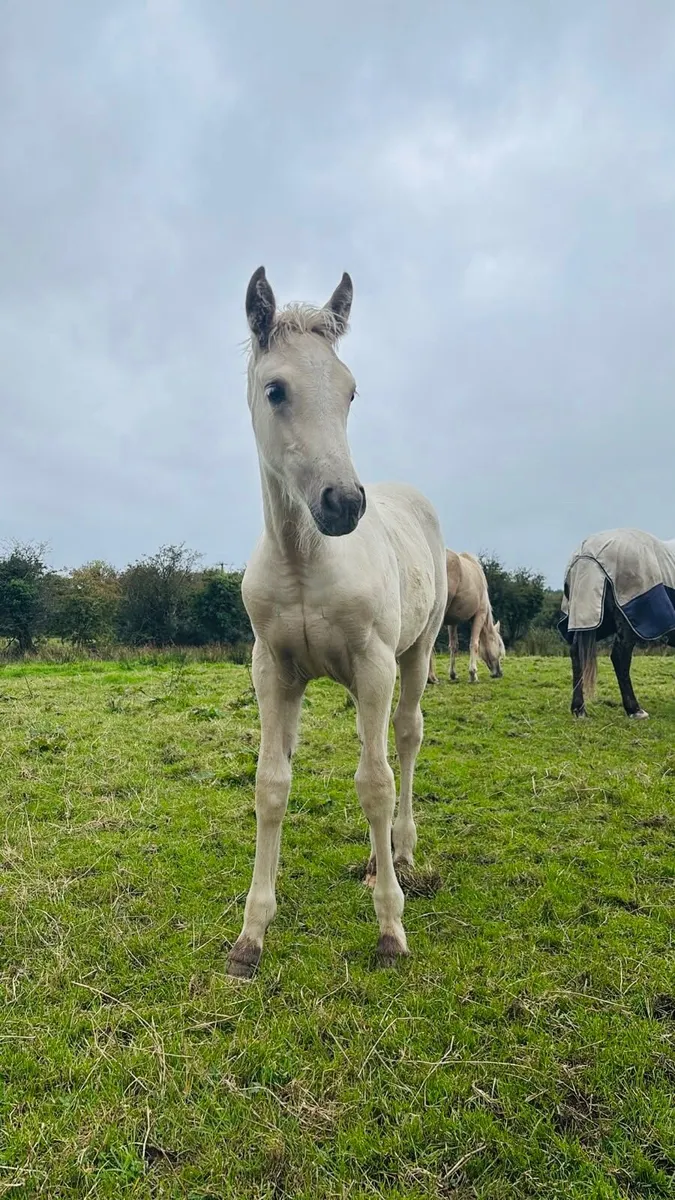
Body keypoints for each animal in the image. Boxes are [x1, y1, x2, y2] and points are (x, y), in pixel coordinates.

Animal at [226, 267, 448, 978]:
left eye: (350, 391)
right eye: (276, 389)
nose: (345, 502)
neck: (305, 559)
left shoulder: (374, 663)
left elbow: (375, 785)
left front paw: (390, 927)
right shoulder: (271, 669)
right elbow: (271, 784)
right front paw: (251, 934)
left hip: (415, 652)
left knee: (403, 739)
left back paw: (398, 853)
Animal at [428, 550, 505, 684]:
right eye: (499, 645)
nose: (499, 673)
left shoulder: (452, 621)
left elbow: (453, 645)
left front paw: (453, 674)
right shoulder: (479, 615)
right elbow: (474, 643)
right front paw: (473, 674)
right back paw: (431, 677)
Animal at [559, 528, 675, 718]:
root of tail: (586, 554)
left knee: (576, 653)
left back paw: (579, 710)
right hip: (626, 620)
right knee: (620, 656)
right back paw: (634, 710)